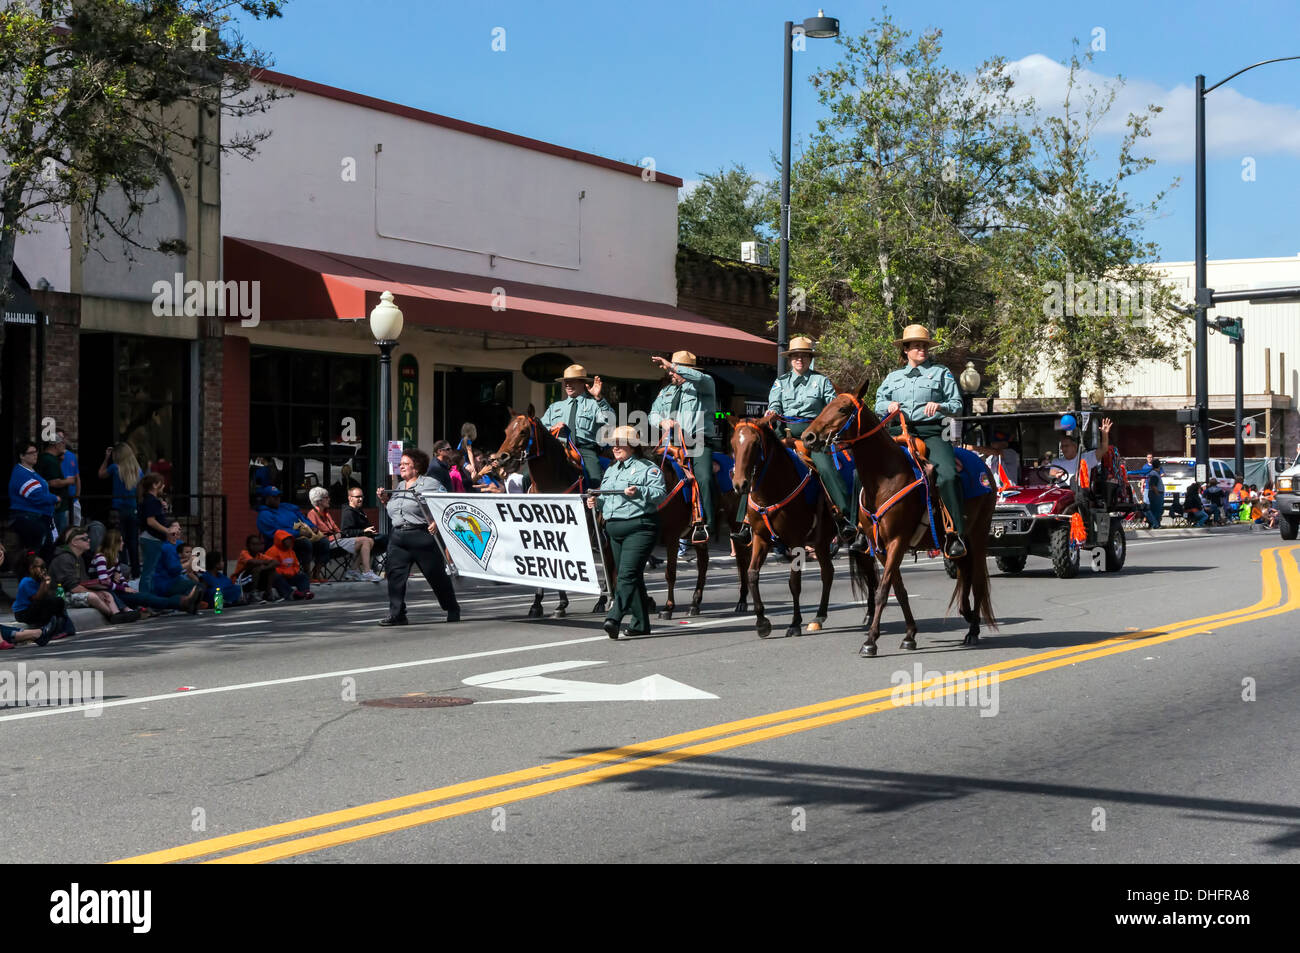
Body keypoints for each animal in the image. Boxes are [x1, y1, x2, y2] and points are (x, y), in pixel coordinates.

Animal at [488, 413, 613, 616]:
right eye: (506, 431)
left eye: (523, 431)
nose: (500, 458)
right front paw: (541, 604)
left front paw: (559, 604)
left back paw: (604, 600)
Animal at [738, 421, 837, 634]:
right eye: (734, 443)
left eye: (755, 444)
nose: (739, 484)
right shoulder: (760, 537)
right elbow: (752, 574)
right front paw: (762, 621)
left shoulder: (796, 541)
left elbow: (794, 583)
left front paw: (794, 623)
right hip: (821, 543)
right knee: (828, 572)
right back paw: (819, 616)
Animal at [800, 379, 993, 655]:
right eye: (826, 406)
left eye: (843, 409)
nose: (808, 437)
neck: (884, 478)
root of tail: (985, 467)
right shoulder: (879, 545)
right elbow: (898, 589)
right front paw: (910, 634)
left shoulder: (897, 541)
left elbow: (883, 589)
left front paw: (870, 641)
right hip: (963, 538)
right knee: (965, 573)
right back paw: (966, 615)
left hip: (978, 535)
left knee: (976, 579)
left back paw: (974, 630)